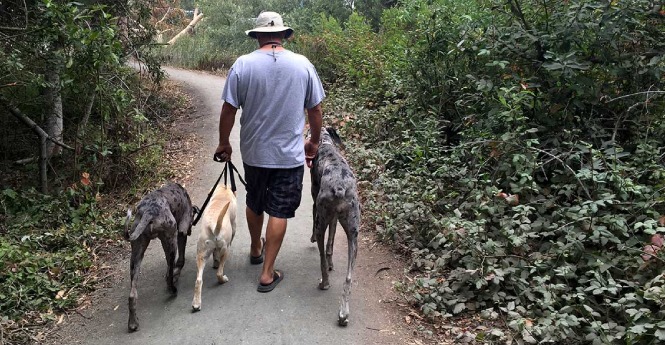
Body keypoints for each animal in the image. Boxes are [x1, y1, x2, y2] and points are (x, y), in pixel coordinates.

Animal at [124, 181, 192, 332]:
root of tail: (149, 212)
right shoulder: (182, 231)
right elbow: (180, 260)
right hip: (171, 241)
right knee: (169, 275)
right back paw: (172, 289)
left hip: (136, 254)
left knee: (132, 295)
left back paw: (133, 323)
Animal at [310, 126, 360, 326]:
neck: (325, 143)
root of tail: (339, 186)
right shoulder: (334, 219)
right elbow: (331, 244)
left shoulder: (316, 206)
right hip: (353, 235)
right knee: (348, 278)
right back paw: (343, 313)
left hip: (321, 220)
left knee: (321, 258)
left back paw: (324, 282)